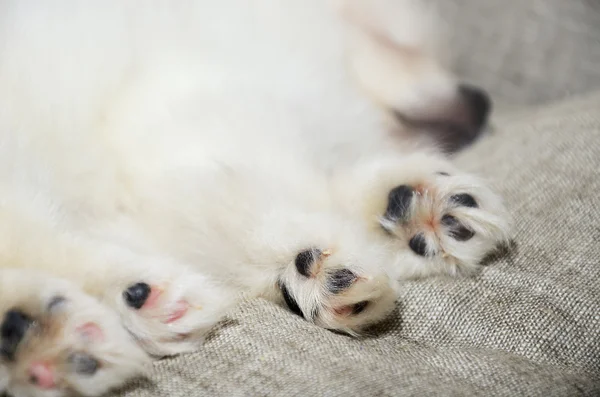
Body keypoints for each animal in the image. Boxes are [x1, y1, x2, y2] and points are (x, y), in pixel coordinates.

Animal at [0, 1, 510, 394]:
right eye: (396, 43)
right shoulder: (188, 115)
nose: (480, 104)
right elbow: (256, 197)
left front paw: (409, 210)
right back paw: (110, 308)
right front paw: (314, 263)